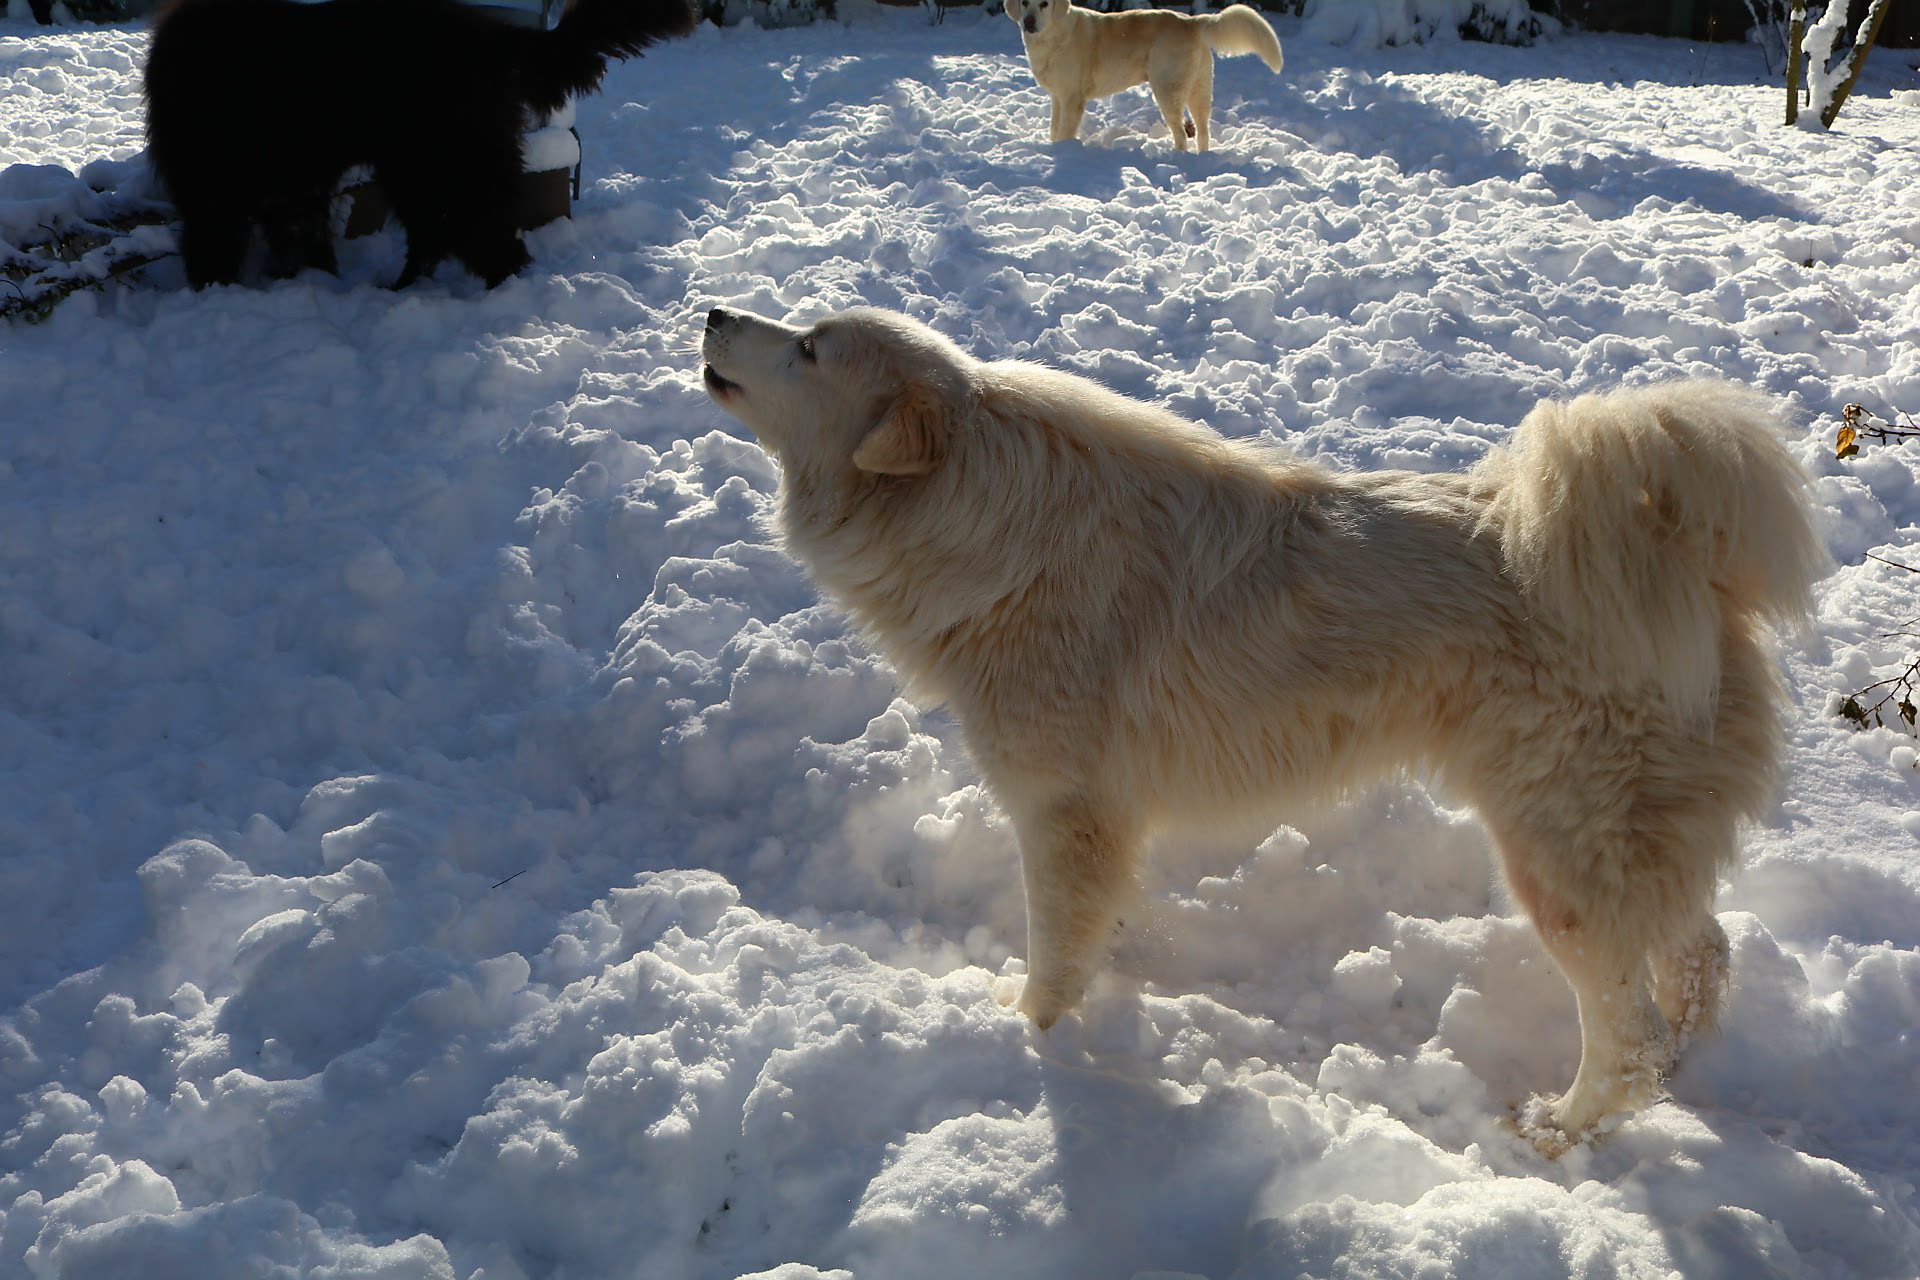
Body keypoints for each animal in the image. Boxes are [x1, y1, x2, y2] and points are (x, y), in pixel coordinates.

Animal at [145, 0, 695, 289]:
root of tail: (491, 34)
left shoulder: (218, 182)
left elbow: (220, 237)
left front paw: (215, 284)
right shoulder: (295, 183)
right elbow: (301, 236)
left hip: (430, 162)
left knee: (473, 232)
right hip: (433, 166)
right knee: (446, 233)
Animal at [698, 303, 1820, 1151]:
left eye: (809, 347)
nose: (711, 310)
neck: (986, 517)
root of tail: (1670, 556)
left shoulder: (1065, 815)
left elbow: (1055, 955)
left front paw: (1030, 1049)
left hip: (1561, 860)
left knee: (1626, 1038)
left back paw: (1555, 1132)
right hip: (1633, 848)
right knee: (1700, 956)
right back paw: (1688, 1070)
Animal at [998, 0, 1282, 150]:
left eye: (1044, 4)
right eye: (1024, 2)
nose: (1028, 21)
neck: (1054, 36)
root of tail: (1192, 22)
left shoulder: (1072, 98)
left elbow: (1064, 132)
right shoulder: (1058, 97)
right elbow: (1054, 129)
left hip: (1167, 90)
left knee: (1181, 134)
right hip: (1199, 89)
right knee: (1202, 131)